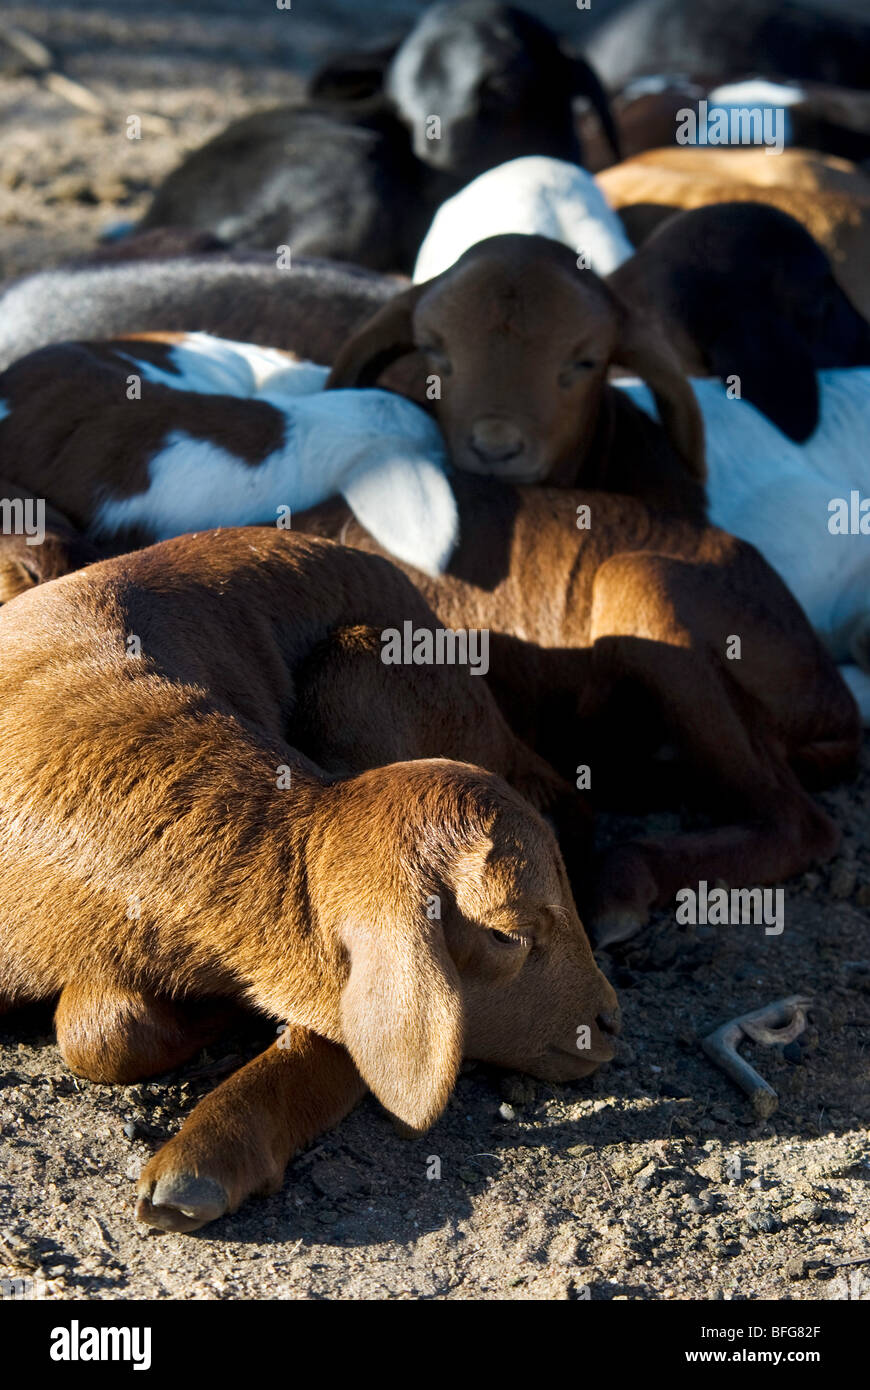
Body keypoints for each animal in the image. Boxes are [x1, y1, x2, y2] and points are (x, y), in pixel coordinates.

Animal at [0, 527, 617, 1232]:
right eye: (507, 936)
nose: (609, 1023)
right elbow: (106, 1033)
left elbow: (105, 1031)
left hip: (366, 674)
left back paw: (201, 1166)